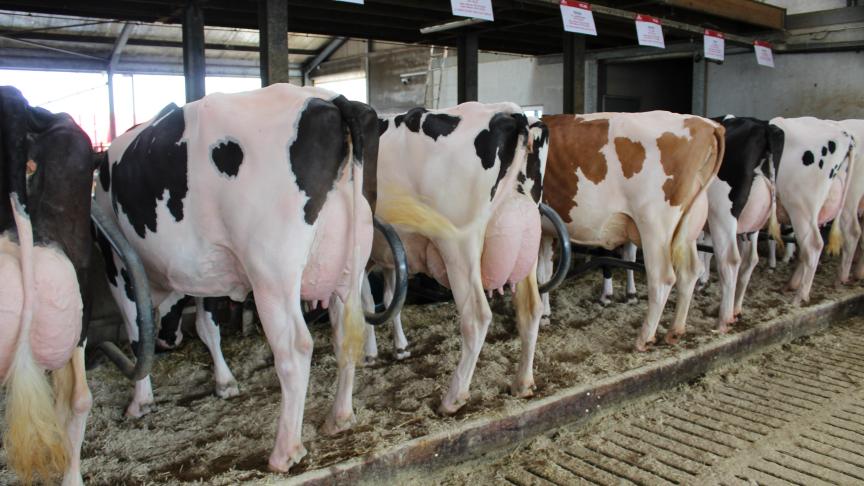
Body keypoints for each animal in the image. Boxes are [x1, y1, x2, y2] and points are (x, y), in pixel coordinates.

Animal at [93, 83, 382, 472]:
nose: (171, 340)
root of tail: (331, 101)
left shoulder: (118, 263)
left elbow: (139, 334)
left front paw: (140, 402)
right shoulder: (206, 265)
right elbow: (207, 325)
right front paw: (225, 383)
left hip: (272, 272)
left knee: (296, 348)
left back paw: (285, 451)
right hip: (349, 263)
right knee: (345, 333)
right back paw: (340, 417)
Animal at [362, 102, 552, 415]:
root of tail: (512, 114)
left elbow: (364, 302)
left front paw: (369, 354)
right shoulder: (386, 254)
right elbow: (390, 298)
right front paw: (398, 347)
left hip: (458, 245)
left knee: (477, 316)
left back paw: (453, 397)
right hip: (525, 236)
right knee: (530, 308)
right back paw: (522, 382)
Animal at [540, 112, 724, 351]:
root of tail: (706, 125)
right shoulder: (545, 231)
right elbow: (545, 272)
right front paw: (544, 315)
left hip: (654, 227)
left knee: (662, 278)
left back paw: (644, 338)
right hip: (687, 228)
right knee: (690, 271)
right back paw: (675, 331)